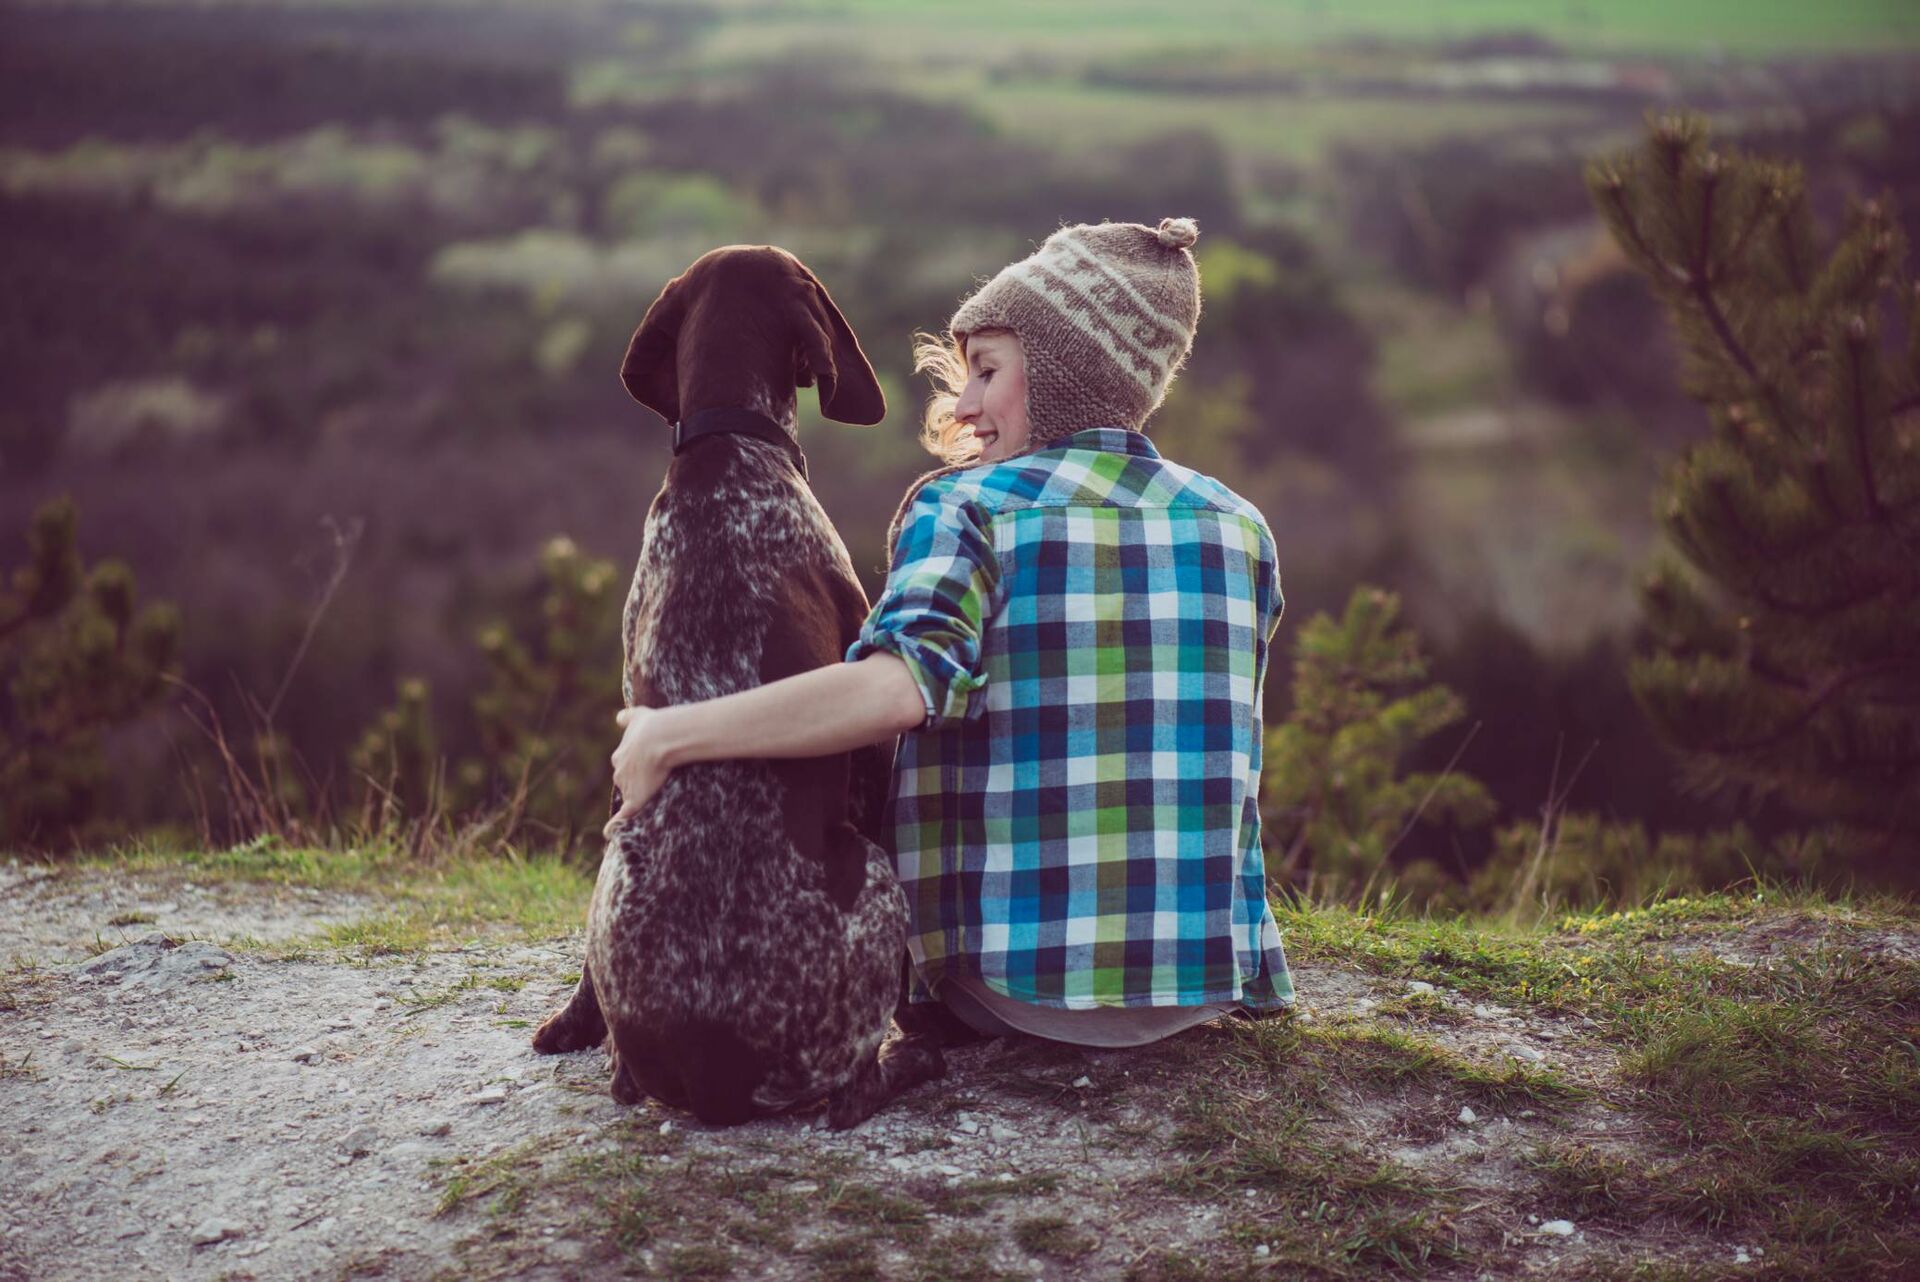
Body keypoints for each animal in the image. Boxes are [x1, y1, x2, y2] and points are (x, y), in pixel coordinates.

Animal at [529, 245, 948, 1128]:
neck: (724, 445)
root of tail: (714, 1073)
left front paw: (573, 1022)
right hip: (873, 881)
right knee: (853, 1093)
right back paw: (914, 1056)